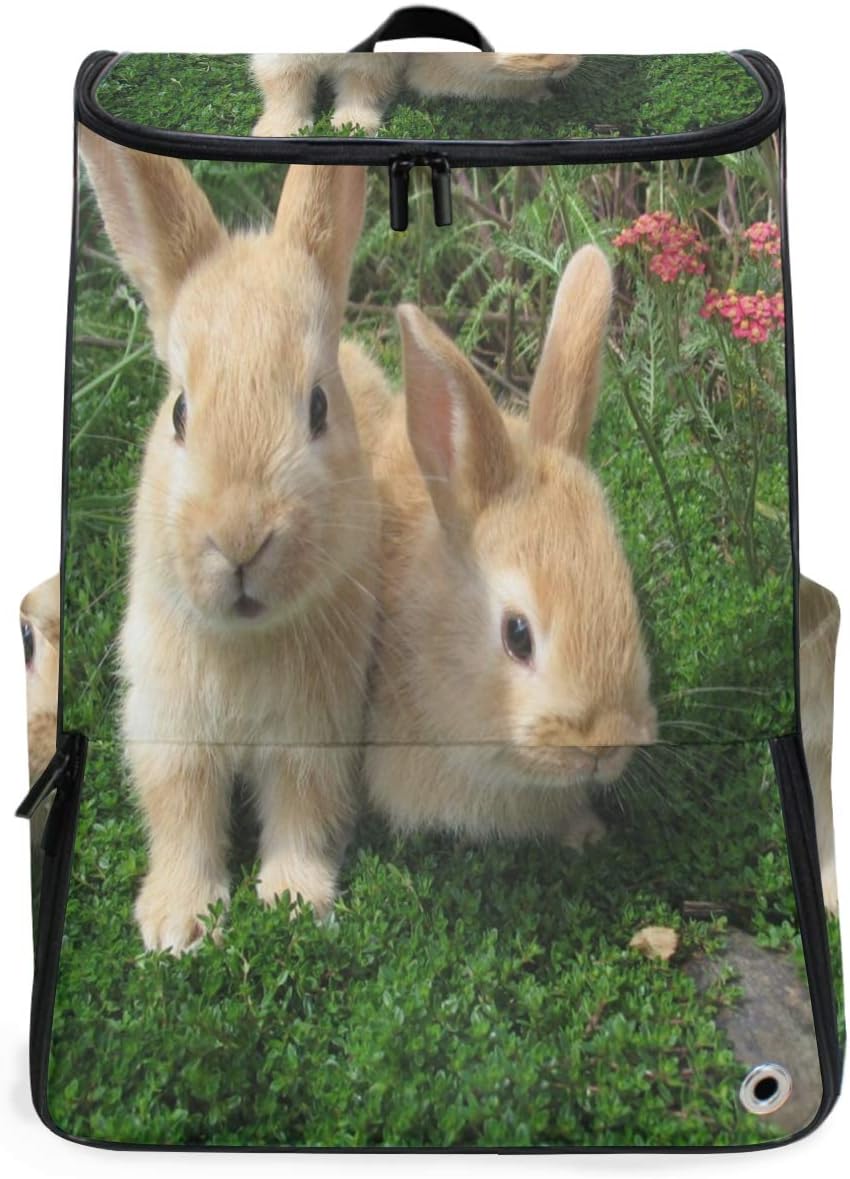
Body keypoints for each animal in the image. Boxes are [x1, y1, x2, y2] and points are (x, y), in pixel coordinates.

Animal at [80, 128, 385, 953]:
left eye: (318, 407)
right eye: (180, 412)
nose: (241, 541)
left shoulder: (316, 736)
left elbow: (304, 813)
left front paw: (294, 903)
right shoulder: (170, 732)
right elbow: (181, 815)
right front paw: (178, 923)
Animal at [251, 53, 582, 137]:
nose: (564, 64)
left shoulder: (371, 67)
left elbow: (361, 92)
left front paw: (355, 127)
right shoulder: (283, 61)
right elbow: (285, 91)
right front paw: (278, 131)